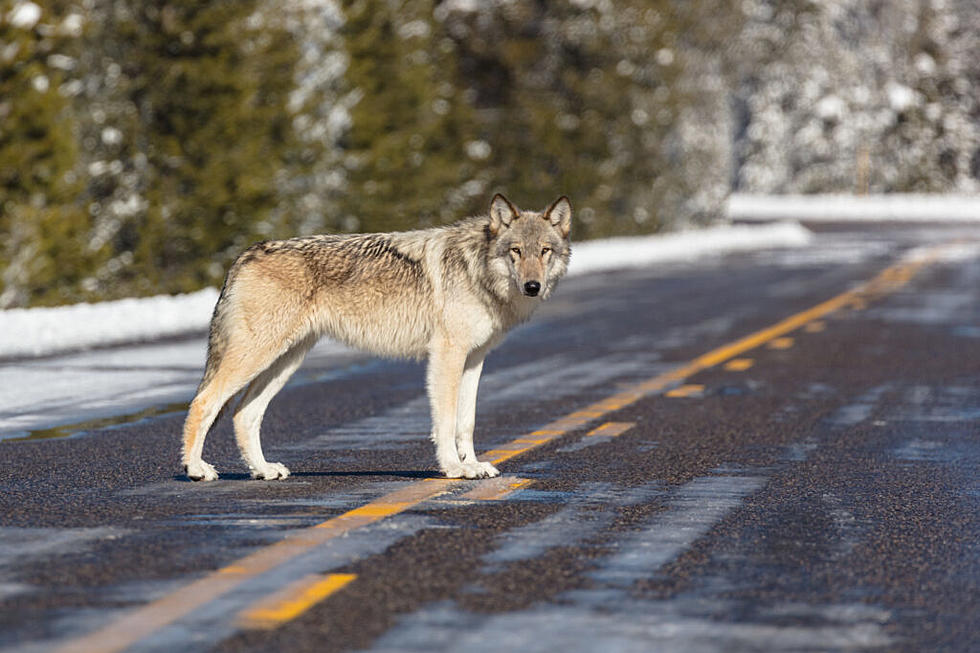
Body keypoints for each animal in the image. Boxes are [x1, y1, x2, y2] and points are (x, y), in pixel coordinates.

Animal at [180, 194, 572, 478]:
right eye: (516, 251)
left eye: (545, 251)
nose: (532, 286)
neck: (477, 270)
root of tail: (245, 254)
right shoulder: (446, 355)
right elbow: (445, 421)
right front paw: (454, 468)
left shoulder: (474, 358)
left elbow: (467, 422)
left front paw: (473, 464)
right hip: (259, 356)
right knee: (204, 401)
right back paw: (196, 469)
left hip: (286, 362)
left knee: (243, 414)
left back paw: (263, 470)